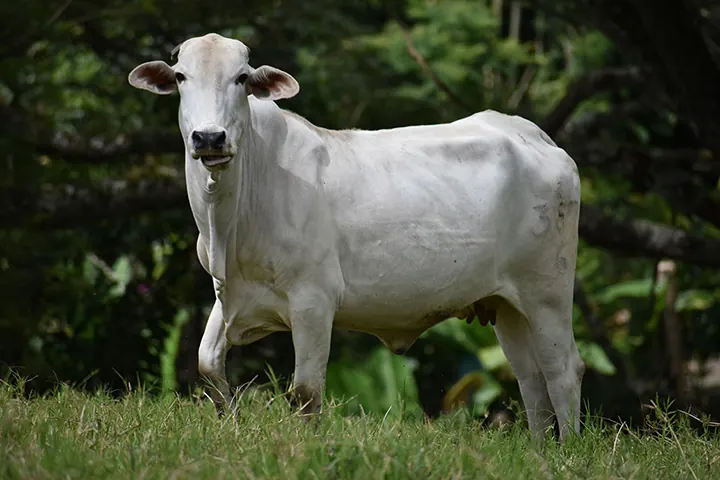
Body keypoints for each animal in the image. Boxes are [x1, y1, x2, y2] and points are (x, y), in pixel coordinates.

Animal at [128, 33, 584, 440]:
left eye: (241, 77)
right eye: (181, 76)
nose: (209, 137)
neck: (229, 221)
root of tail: (534, 135)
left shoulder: (313, 300)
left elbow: (306, 392)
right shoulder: (231, 295)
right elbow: (207, 363)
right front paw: (232, 422)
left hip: (548, 292)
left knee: (563, 370)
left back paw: (568, 450)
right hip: (506, 304)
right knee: (530, 376)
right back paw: (540, 450)